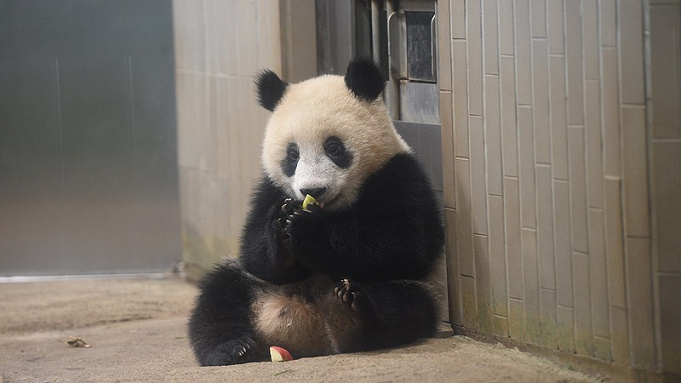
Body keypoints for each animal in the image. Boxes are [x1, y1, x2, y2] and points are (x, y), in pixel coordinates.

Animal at [189, 58, 444, 368]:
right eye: (292, 154)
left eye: (334, 147)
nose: (313, 189)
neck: (332, 208)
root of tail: (309, 327)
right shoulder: (270, 188)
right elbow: (255, 253)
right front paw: (281, 225)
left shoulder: (399, 175)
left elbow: (404, 245)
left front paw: (308, 230)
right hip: (253, 286)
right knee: (219, 295)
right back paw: (232, 348)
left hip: (417, 289)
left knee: (404, 304)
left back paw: (349, 316)